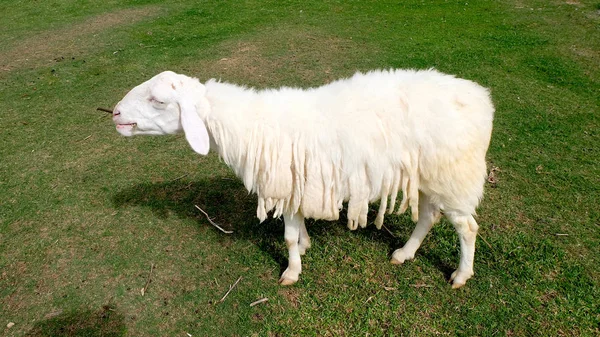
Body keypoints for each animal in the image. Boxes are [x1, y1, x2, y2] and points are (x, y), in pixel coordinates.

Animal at [111, 67, 492, 286]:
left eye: (158, 100)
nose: (114, 113)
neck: (249, 127)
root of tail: (482, 100)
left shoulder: (286, 186)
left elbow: (289, 238)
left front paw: (291, 272)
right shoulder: (296, 189)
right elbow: (298, 231)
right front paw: (306, 246)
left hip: (454, 174)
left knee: (467, 228)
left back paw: (460, 275)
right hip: (431, 175)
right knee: (428, 216)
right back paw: (404, 253)